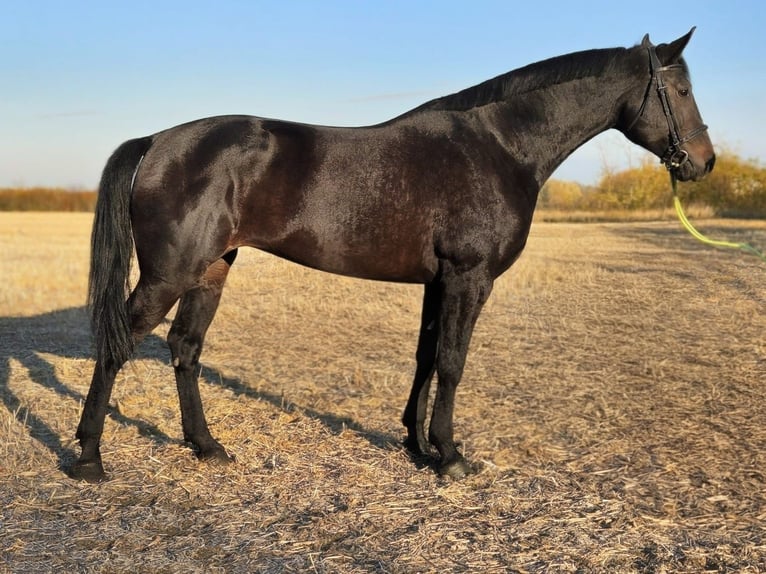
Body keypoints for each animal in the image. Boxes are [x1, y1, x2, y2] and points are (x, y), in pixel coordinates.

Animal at [71, 29, 715, 482]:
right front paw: (451, 456)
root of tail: (157, 141)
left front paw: (417, 446)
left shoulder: (439, 282)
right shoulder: (469, 279)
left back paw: (206, 448)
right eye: (681, 91)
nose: (703, 162)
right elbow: (452, 362)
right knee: (119, 344)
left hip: (210, 271)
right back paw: (90, 459)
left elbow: (426, 357)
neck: (500, 146)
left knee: (185, 349)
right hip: (170, 274)